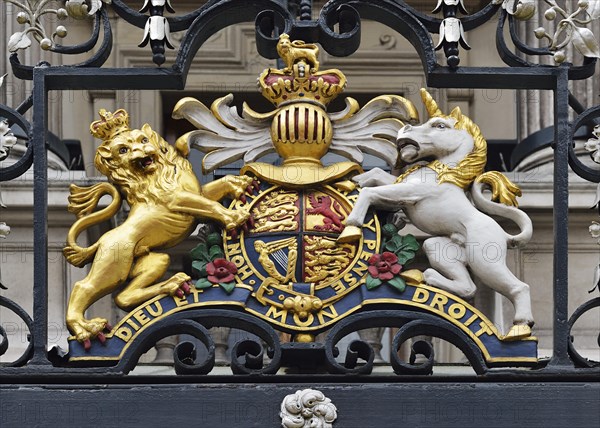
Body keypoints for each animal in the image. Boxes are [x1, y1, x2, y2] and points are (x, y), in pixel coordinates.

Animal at [64, 108, 252, 346]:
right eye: (123, 150)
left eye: (143, 140)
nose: (142, 152)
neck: (159, 172)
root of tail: (101, 241)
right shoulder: (177, 199)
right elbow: (210, 205)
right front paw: (234, 216)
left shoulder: (196, 191)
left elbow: (218, 187)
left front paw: (241, 184)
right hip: (114, 265)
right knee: (84, 287)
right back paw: (85, 329)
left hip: (155, 259)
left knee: (124, 297)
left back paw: (173, 284)